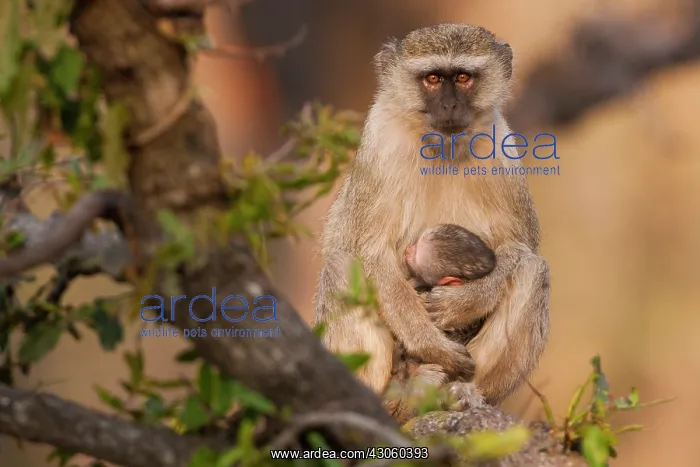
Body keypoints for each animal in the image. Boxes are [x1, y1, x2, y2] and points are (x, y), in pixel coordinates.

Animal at [313, 23, 550, 415]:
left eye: (464, 78)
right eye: (434, 78)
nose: (450, 105)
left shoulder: (503, 153)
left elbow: (519, 247)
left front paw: (465, 302)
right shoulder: (380, 147)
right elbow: (371, 252)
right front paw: (429, 342)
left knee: (534, 269)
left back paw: (459, 393)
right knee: (340, 265)